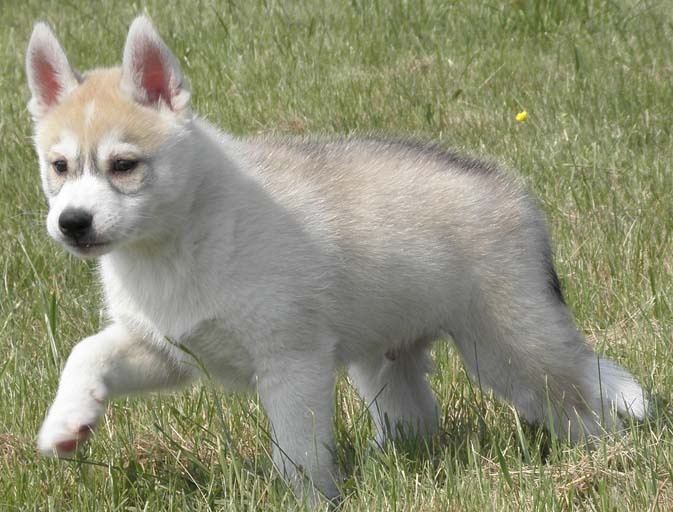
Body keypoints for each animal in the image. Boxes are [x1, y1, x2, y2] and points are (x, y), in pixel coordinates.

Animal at [25, 17, 644, 500]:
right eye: (59, 167)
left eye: (123, 165)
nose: (72, 223)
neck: (176, 240)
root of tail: (512, 190)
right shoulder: (166, 348)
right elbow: (87, 351)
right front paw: (68, 421)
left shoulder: (292, 362)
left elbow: (297, 453)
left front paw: (309, 500)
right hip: (386, 361)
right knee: (416, 418)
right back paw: (388, 464)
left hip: (509, 349)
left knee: (580, 395)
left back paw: (606, 461)